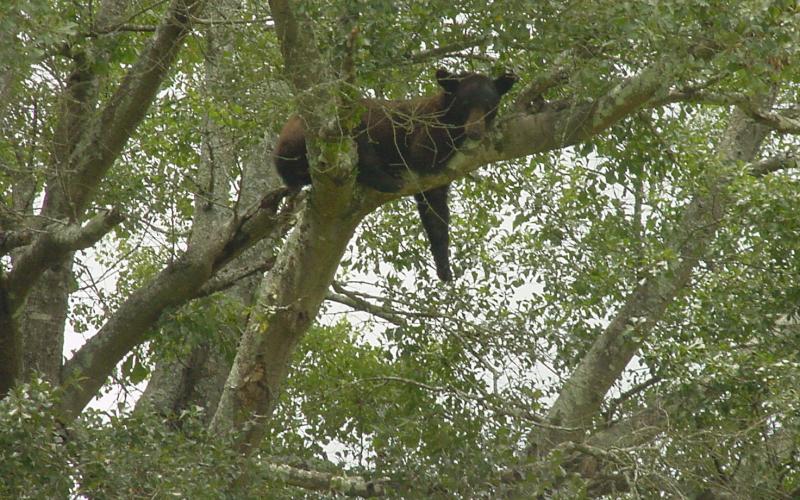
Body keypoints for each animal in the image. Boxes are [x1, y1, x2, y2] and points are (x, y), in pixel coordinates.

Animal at [273, 68, 516, 281]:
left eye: (489, 106)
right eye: (466, 104)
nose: (475, 131)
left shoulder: (437, 182)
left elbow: (435, 210)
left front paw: (444, 267)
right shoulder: (425, 129)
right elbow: (424, 153)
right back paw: (386, 179)